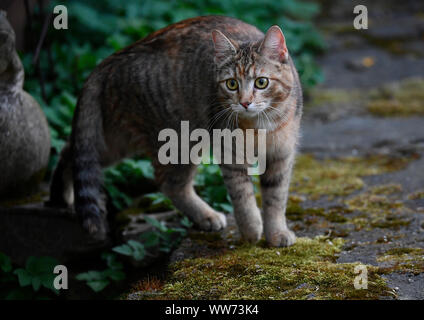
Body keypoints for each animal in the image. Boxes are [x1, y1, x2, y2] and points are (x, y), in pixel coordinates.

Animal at [48, 15, 302, 248]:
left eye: (261, 82)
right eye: (232, 84)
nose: (245, 102)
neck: (258, 126)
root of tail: (111, 58)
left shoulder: (282, 154)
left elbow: (276, 198)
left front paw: (276, 232)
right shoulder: (230, 154)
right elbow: (243, 196)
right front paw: (251, 230)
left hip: (116, 140)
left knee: (72, 151)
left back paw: (60, 199)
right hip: (177, 140)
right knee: (170, 184)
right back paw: (206, 215)